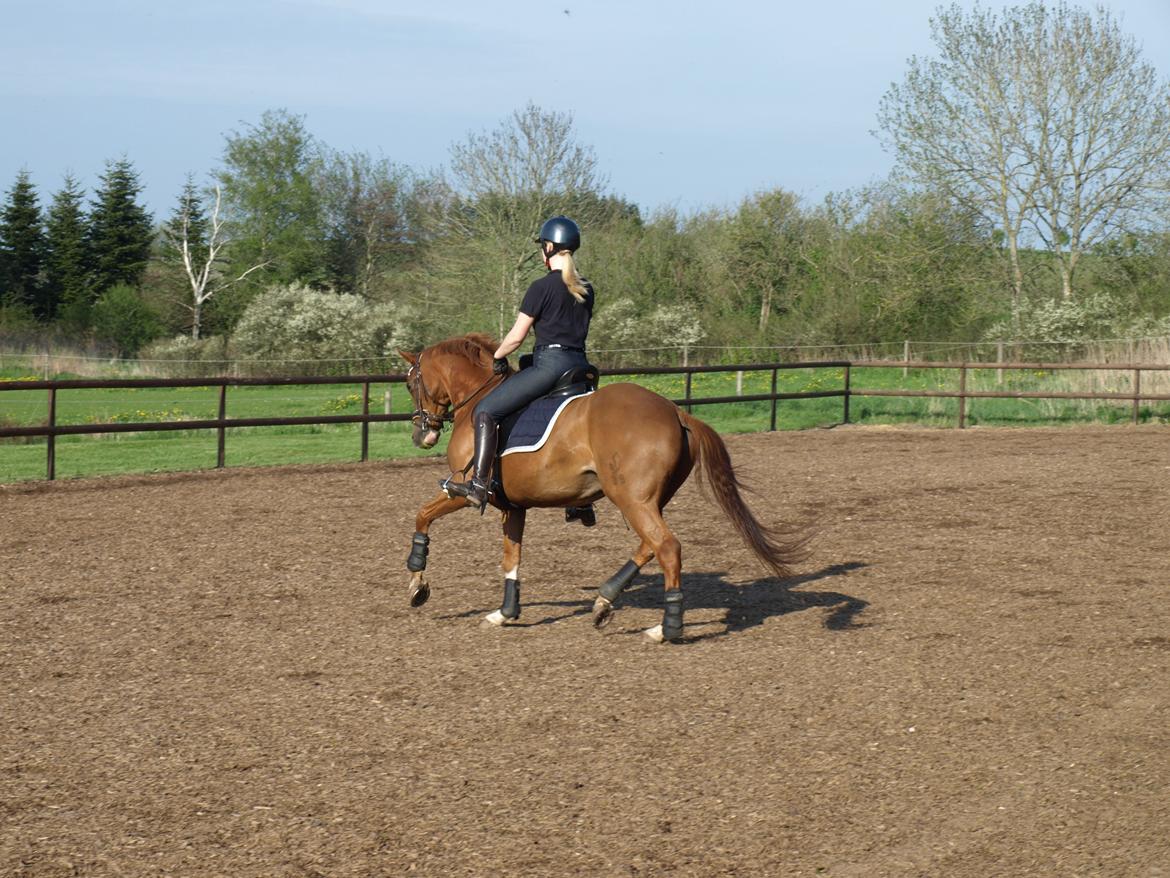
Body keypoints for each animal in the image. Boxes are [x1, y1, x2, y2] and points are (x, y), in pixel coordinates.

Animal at [399, 333, 809, 643]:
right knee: (649, 546)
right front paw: (506, 612)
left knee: (667, 547)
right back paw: (604, 602)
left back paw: (666, 628)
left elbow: (422, 516)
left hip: (632, 499)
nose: (422, 434)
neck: (477, 400)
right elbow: (511, 557)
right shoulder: (514, 506)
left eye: (409, 383)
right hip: (644, 500)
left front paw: (417, 583)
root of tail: (676, 412)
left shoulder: (463, 488)